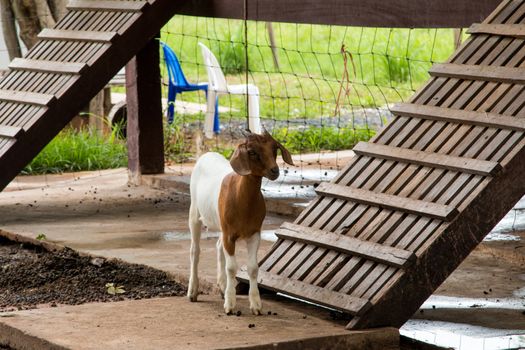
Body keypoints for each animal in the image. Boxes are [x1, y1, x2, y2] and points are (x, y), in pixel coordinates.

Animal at [187, 129, 294, 314]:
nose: (274, 170)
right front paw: (230, 305)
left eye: (274, 148)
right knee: (195, 250)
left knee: (218, 246)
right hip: (194, 211)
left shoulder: (254, 233)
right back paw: (193, 291)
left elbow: (253, 268)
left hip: (221, 225)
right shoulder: (229, 235)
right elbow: (231, 268)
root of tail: (206, 154)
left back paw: (222, 287)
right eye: (252, 152)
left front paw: (256, 305)